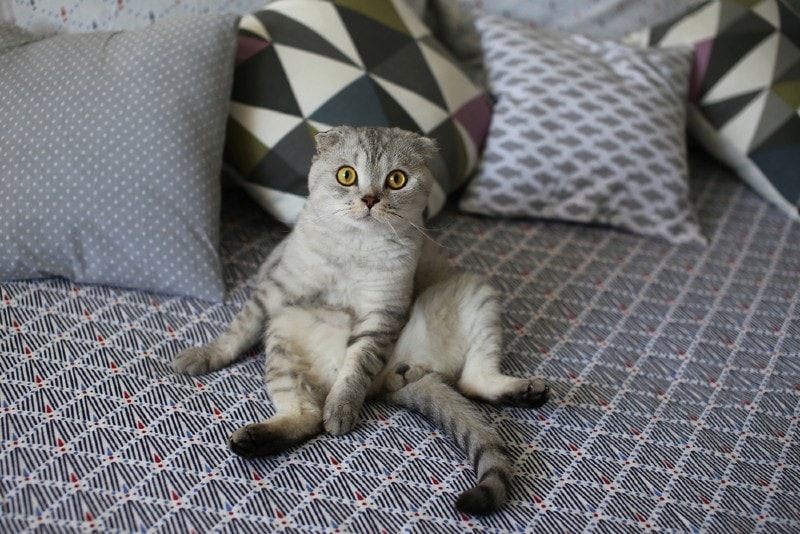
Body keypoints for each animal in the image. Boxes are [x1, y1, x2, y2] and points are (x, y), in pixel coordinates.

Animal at [173, 127, 552, 516]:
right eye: (346, 175)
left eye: (397, 179)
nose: (370, 199)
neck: (355, 246)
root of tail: (389, 381)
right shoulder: (274, 292)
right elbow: (237, 331)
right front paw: (203, 357)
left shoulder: (381, 315)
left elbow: (354, 370)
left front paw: (341, 409)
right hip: (283, 336)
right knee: (306, 414)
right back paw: (255, 439)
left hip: (476, 294)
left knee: (470, 380)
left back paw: (521, 390)